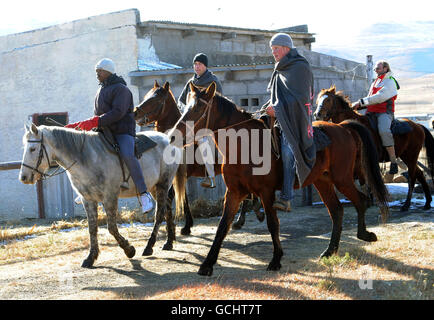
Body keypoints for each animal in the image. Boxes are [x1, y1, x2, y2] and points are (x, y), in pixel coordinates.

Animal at [19, 124, 186, 268]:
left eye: (33, 148)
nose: (24, 177)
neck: (86, 158)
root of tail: (168, 139)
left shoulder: (110, 197)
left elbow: (111, 227)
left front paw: (129, 250)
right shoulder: (88, 200)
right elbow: (92, 228)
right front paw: (90, 257)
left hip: (163, 184)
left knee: (159, 214)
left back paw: (149, 246)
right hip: (155, 186)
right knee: (167, 208)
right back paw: (169, 242)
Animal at [132, 81, 262, 234]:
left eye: (156, 99)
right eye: (146, 96)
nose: (135, 112)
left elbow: (175, 196)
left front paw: (180, 226)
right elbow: (184, 197)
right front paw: (186, 225)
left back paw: (240, 220)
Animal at [170, 82, 390, 276]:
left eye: (199, 108)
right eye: (186, 106)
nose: (173, 136)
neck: (245, 146)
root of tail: (343, 128)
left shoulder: (266, 192)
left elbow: (272, 223)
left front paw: (276, 260)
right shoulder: (234, 192)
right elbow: (223, 226)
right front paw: (207, 264)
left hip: (342, 179)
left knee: (361, 200)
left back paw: (364, 235)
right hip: (323, 182)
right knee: (337, 210)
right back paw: (330, 250)